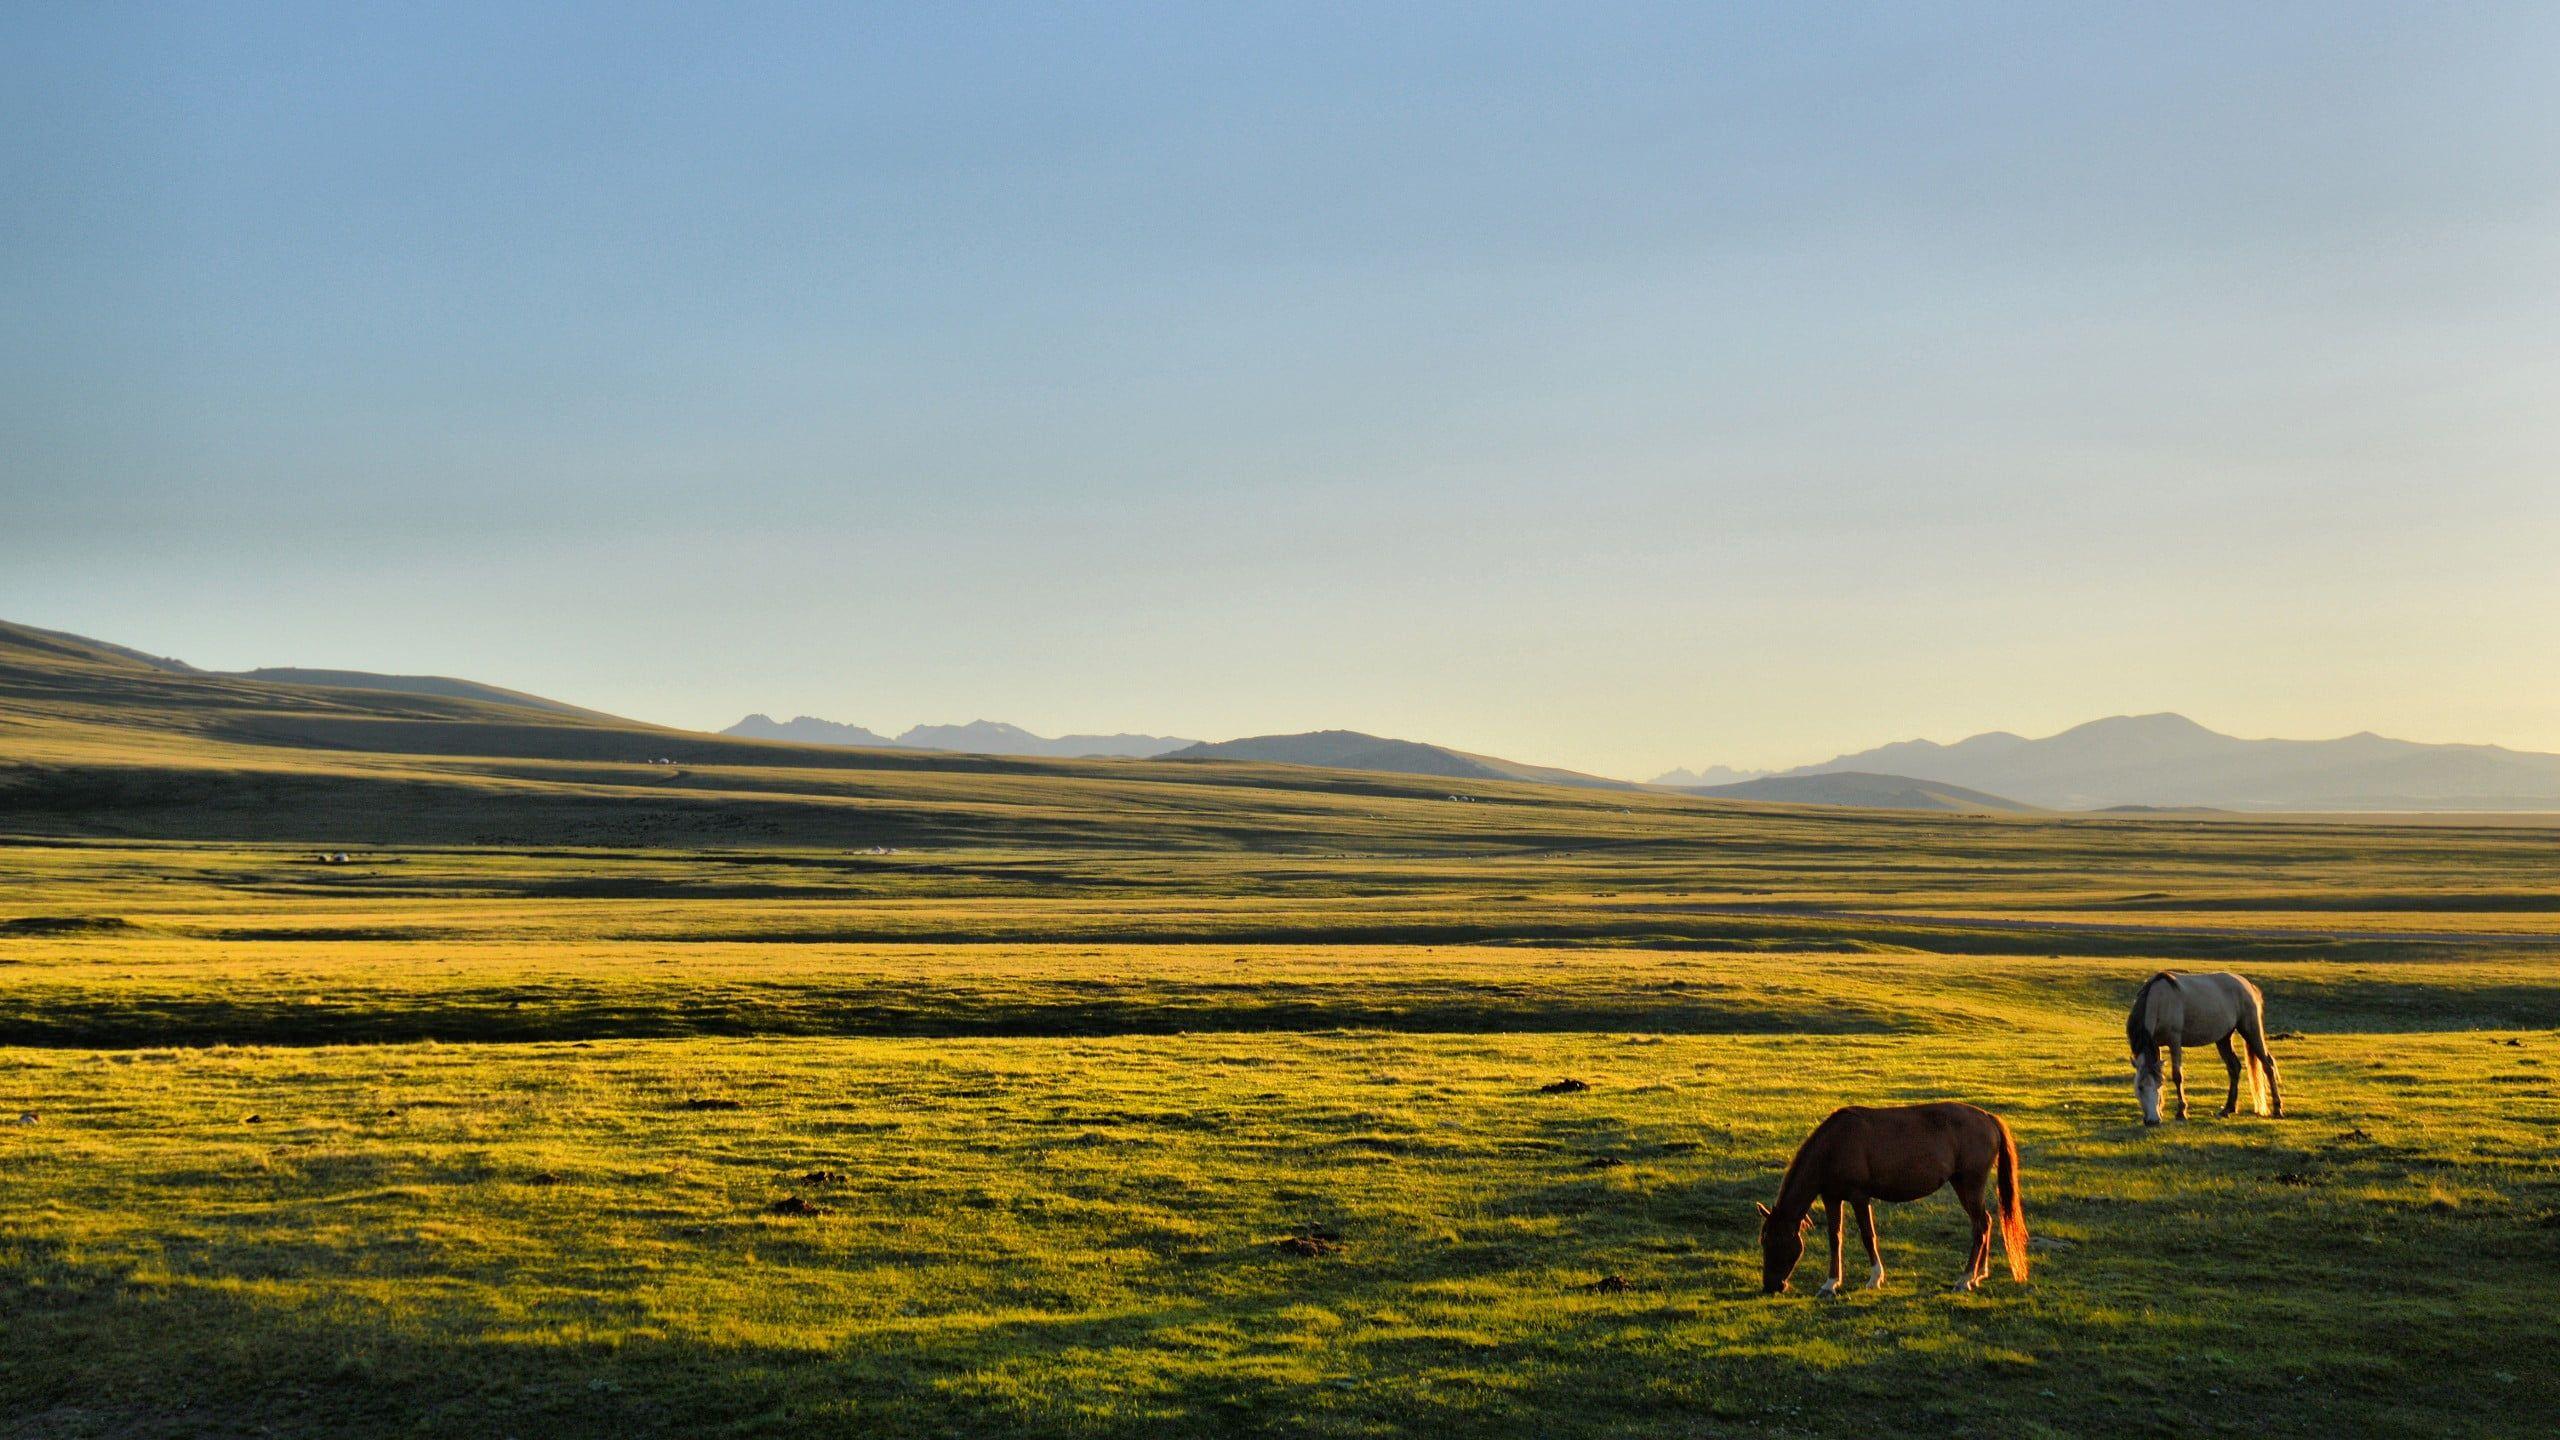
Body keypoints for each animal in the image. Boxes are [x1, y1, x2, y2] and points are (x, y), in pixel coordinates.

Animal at [1761, 1096, 2017, 1291]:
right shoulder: (1831, 1198)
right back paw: (1979, 1273)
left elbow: (1867, 1235)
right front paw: (1831, 1283)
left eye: (1776, 1242)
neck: (1834, 1145)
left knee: (1980, 1225)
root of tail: (1987, 1117)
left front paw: (1875, 1278)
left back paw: (1965, 1279)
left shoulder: (1859, 1196)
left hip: (1970, 1184)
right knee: (1985, 1221)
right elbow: (1835, 1238)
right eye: (1763, 1241)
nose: (1771, 1287)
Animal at [2129, 963, 2293, 1122]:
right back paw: (2228, 1109)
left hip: (2251, 1031)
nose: (2152, 1121)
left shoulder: (2174, 1041)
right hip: (2224, 1038)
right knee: (2235, 1067)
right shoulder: (2155, 1044)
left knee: (2268, 1066)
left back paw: (2277, 1109)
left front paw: (2181, 1112)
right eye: (2139, 1087)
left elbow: (2177, 1076)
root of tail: (2248, 985)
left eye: (2158, 1085)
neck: (2158, 999)